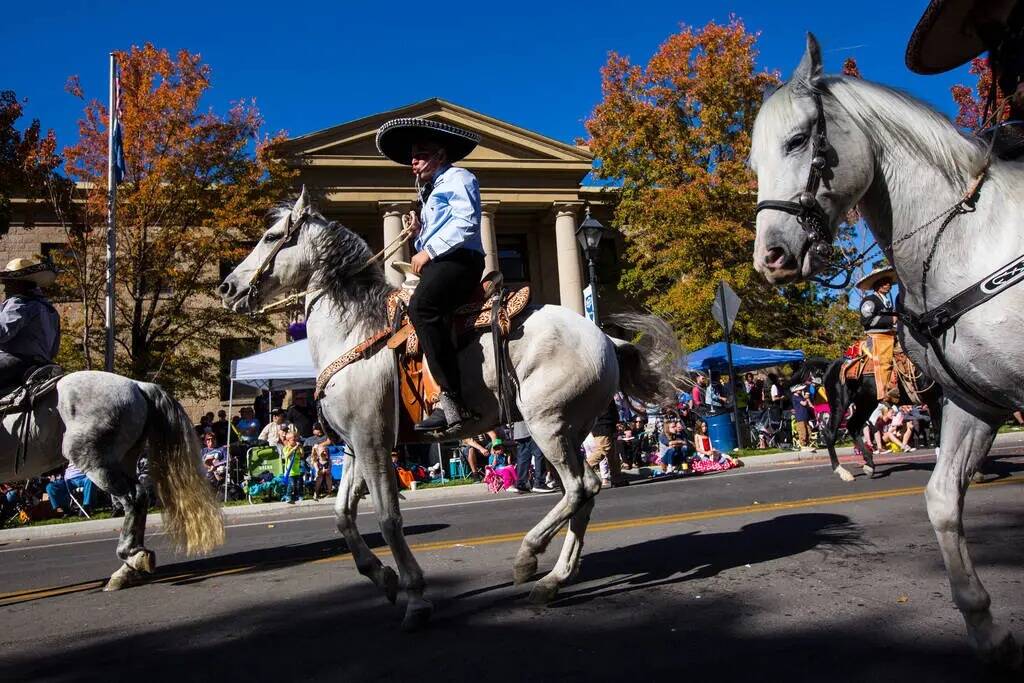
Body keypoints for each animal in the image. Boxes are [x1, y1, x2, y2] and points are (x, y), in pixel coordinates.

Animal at [0, 370, 224, 589]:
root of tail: (138, 384)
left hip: (96, 462)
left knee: (134, 497)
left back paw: (130, 559)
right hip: (125, 459)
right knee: (138, 499)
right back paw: (128, 568)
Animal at [218, 192, 679, 630]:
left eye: (271, 237)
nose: (227, 288)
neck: (353, 332)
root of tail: (607, 339)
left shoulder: (372, 441)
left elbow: (387, 517)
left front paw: (415, 596)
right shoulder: (353, 446)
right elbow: (342, 516)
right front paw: (383, 578)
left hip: (548, 425)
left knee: (580, 488)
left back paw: (528, 558)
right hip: (572, 428)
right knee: (585, 493)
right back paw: (552, 581)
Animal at [753, 34, 1024, 671]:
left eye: (797, 140)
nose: (770, 257)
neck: (968, 239)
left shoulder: (976, 402)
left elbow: (944, 496)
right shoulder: (968, 402)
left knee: (851, 432)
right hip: (852, 402)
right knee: (835, 431)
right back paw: (852, 468)